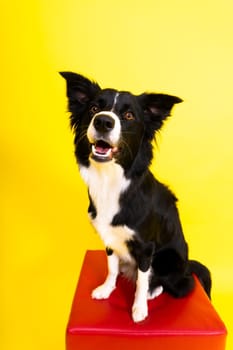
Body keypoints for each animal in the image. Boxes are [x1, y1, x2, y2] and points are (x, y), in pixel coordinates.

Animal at [59, 71, 211, 322]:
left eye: (129, 115)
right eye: (93, 108)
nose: (103, 121)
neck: (111, 180)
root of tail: (187, 266)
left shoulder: (146, 247)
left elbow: (142, 280)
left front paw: (139, 308)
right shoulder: (109, 238)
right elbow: (111, 266)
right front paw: (107, 288)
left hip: (169, 260)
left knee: (178, 283)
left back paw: (154, 291)